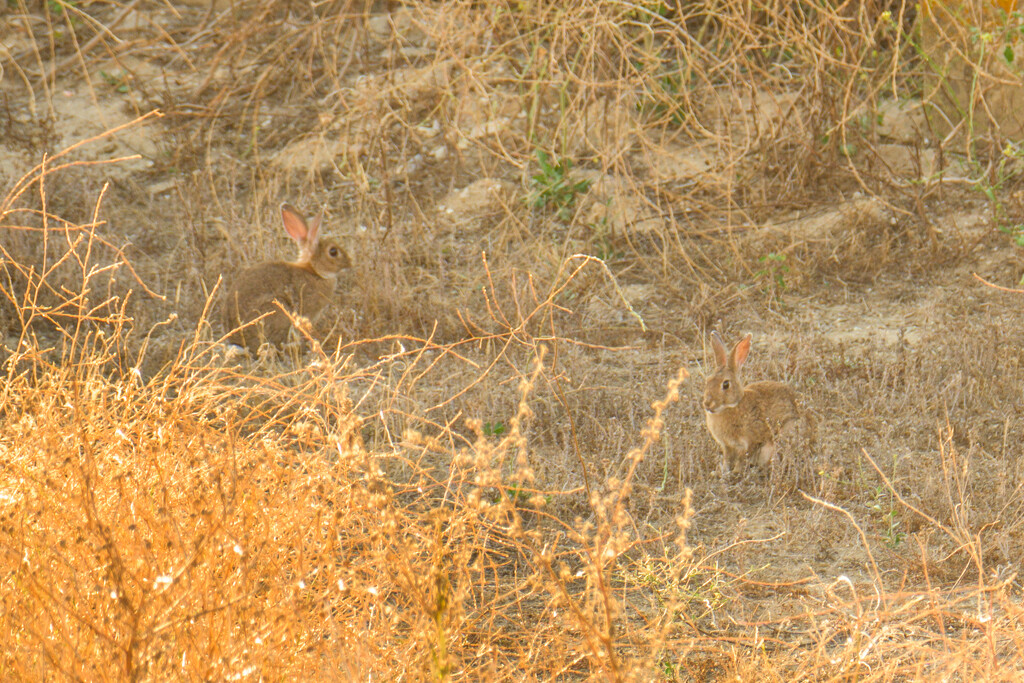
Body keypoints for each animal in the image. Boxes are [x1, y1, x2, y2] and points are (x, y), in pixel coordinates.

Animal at [700, 331, 811, 475]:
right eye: (707, 381)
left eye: (725, 384)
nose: (707, 404)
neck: (733, 406)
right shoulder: (727, 446)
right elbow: (727, 459)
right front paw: (722, 472)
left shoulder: (749, 442)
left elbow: (742, 459)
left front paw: (735, 473)